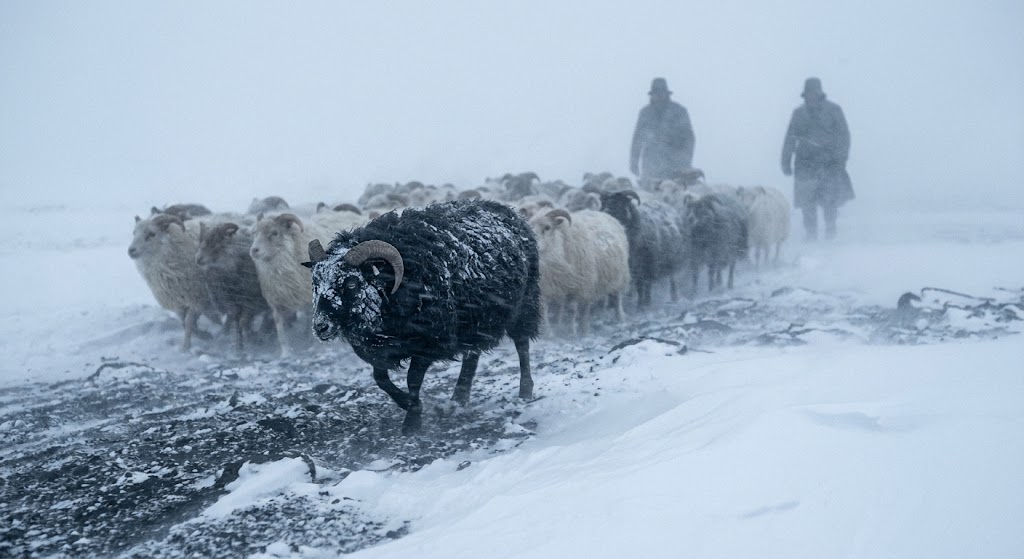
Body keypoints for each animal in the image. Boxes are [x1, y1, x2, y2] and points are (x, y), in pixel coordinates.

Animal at [128, 213, 217, 351]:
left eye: (151, 233)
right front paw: (202, 335)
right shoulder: (177, 301)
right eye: (134, 233)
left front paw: (186, 347)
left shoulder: (196, 297)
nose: (131, 250)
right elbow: (184, 322)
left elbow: (188, 322)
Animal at [196, 221, 272, 352]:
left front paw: (253, 338)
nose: (198, 259)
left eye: (216, 242)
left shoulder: (250, 303)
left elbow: (243, 322)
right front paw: (239, 347)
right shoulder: (232, 305)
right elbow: (238, 324)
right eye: (201, 241)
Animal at [249, 211, 366, 356]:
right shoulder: (277, 302)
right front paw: (286, 352)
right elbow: (281, 330)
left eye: (275, 233)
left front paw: (314, 347)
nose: (254, 250)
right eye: (255, 232)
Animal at [304, 199, 541, 434]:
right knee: (472, 354)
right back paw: (458, 399)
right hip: (474, 319)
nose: (320, 327)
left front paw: (412, 419)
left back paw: (525, 392)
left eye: (352, 282)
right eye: (315, 282)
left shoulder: (428, 342)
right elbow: (380, 379)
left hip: (525, 304)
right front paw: (406, 403)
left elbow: (413, 380)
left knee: (522, 345)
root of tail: (508, 211)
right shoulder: (381, 350)